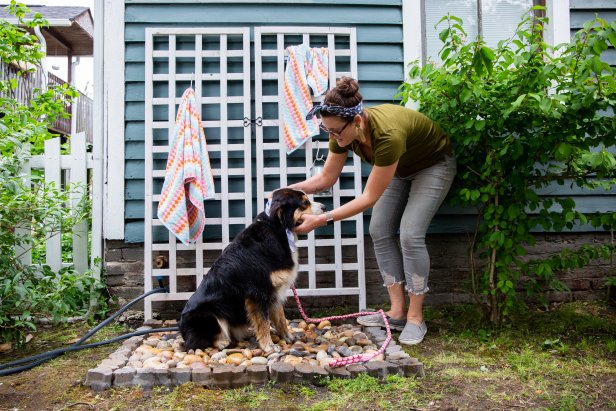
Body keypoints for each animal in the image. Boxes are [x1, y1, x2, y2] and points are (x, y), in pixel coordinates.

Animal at [178, 188, 324, 352]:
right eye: (305, 203)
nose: (325, 207)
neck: (276, 229)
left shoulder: (275, 292)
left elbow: (280, 319)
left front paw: (288, 338)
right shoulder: (257, 293)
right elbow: (263, 322)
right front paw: (269, 346)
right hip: (208, 314)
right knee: (193, 343)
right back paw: (223, 342)